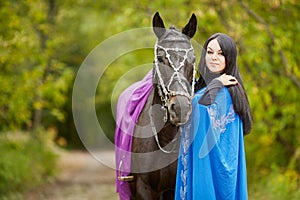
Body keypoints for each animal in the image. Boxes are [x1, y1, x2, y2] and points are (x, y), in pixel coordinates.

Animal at [128, 12, 197, 200]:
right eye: (160, 58)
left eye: (193, 59)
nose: (180, 108)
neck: (166, 138)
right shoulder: (143, 189)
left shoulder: (175, 189)